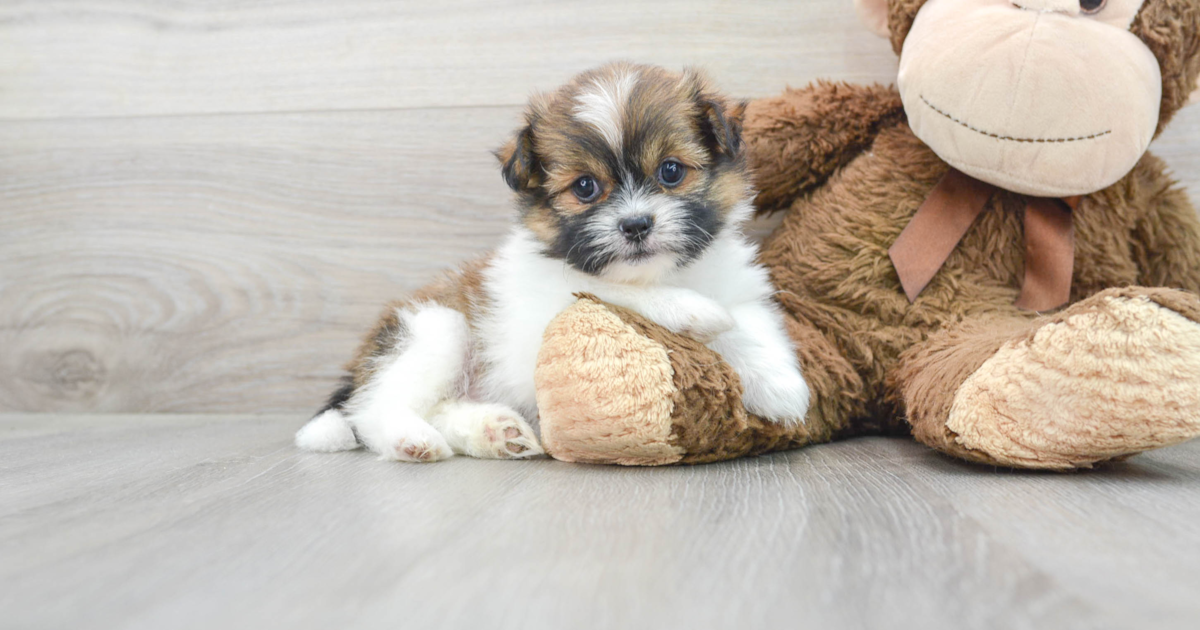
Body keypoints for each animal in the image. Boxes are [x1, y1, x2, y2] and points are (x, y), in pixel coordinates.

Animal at [295, 61, 811, 458]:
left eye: (670, 171)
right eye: (585, 187)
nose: (636, 225)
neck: (662, 272)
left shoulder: (740, 288)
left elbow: (748, 329)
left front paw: (781, 388)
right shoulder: (556, 296)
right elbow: (618, 291)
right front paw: (691, 310)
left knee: (440, 409)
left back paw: (495, 432)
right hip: (434, 329)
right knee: (372, 410)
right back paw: (410, 439)